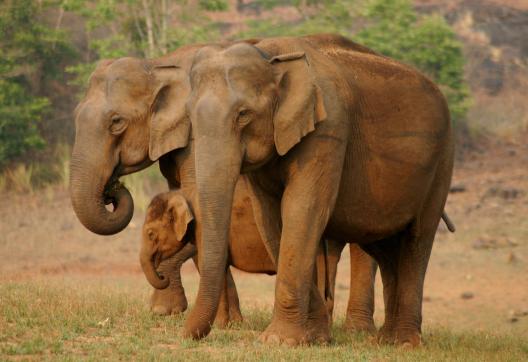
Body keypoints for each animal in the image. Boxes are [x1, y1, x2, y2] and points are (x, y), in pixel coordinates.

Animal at [182, 34, 454, 348]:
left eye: (243, 115)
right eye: (189, 117)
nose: (185, 335)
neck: (271, 56)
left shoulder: (328, 129)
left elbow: (302, 209)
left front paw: (279, 340)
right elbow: (270, 217)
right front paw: (316, 336)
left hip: (442, 163)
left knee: (416, 241)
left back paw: (404, 343)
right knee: (385, 249)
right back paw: (385, 340)